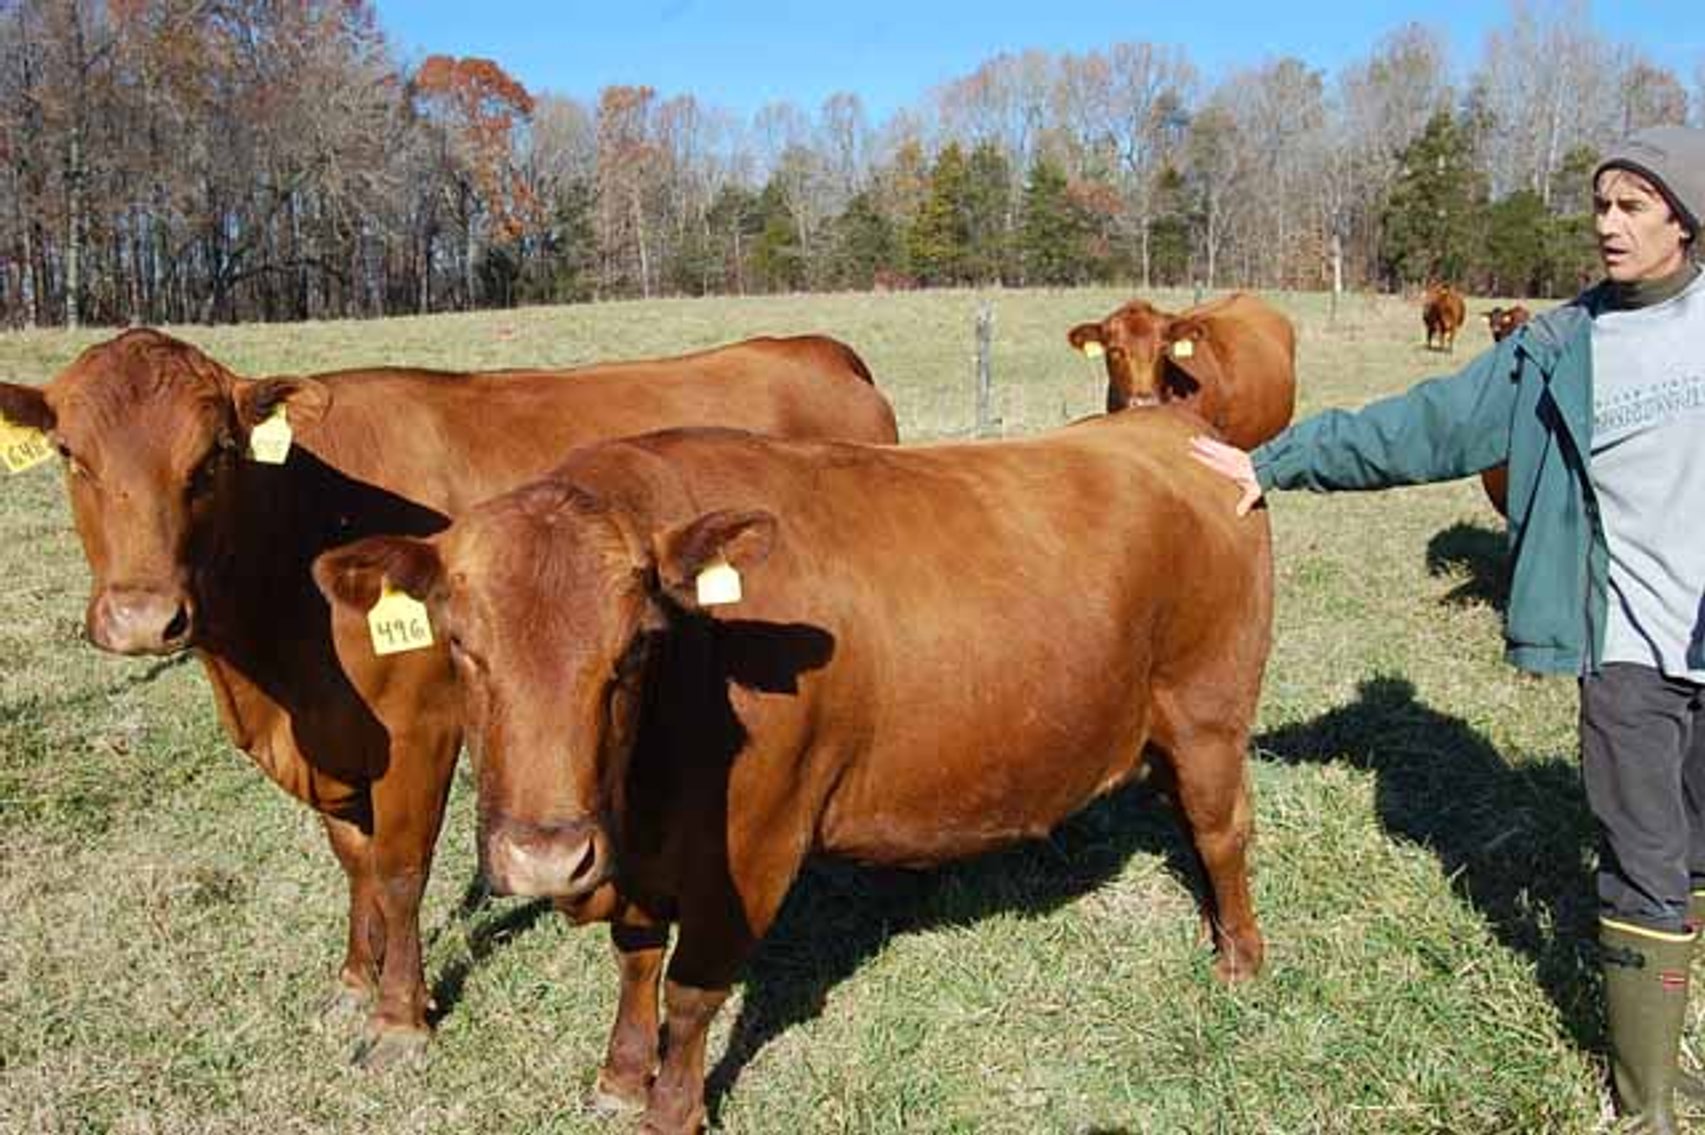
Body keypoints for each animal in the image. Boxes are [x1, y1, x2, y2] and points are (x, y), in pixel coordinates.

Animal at [0, 328, 897, 1069]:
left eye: (213, 457)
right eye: (71, 453)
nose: (143, 618)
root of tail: (811, 348)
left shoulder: (416, 725)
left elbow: (398, 869)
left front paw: (399, 1018)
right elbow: (353, 858)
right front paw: (355, 979)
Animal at [314, 405, 1273, 1132]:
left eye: (634, 648)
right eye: (460, 645)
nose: (547, 856)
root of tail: (1164, 423)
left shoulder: (755, 844)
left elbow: (691, 990)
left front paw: (672, 1108)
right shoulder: (638, 859)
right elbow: (636, 957)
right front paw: (620, 1075)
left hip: (1208, 715)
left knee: (1221, 832)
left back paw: (1239, 960)